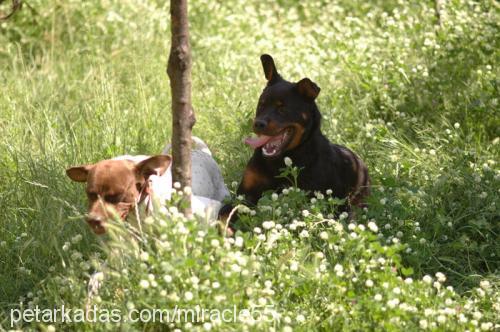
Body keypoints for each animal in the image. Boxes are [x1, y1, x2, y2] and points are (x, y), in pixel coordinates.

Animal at [221, 53, 370, 226]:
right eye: (261, 105)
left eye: (282, 108)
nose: (258, 123)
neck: (280, 160)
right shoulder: (244, 194)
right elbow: (223, 214)